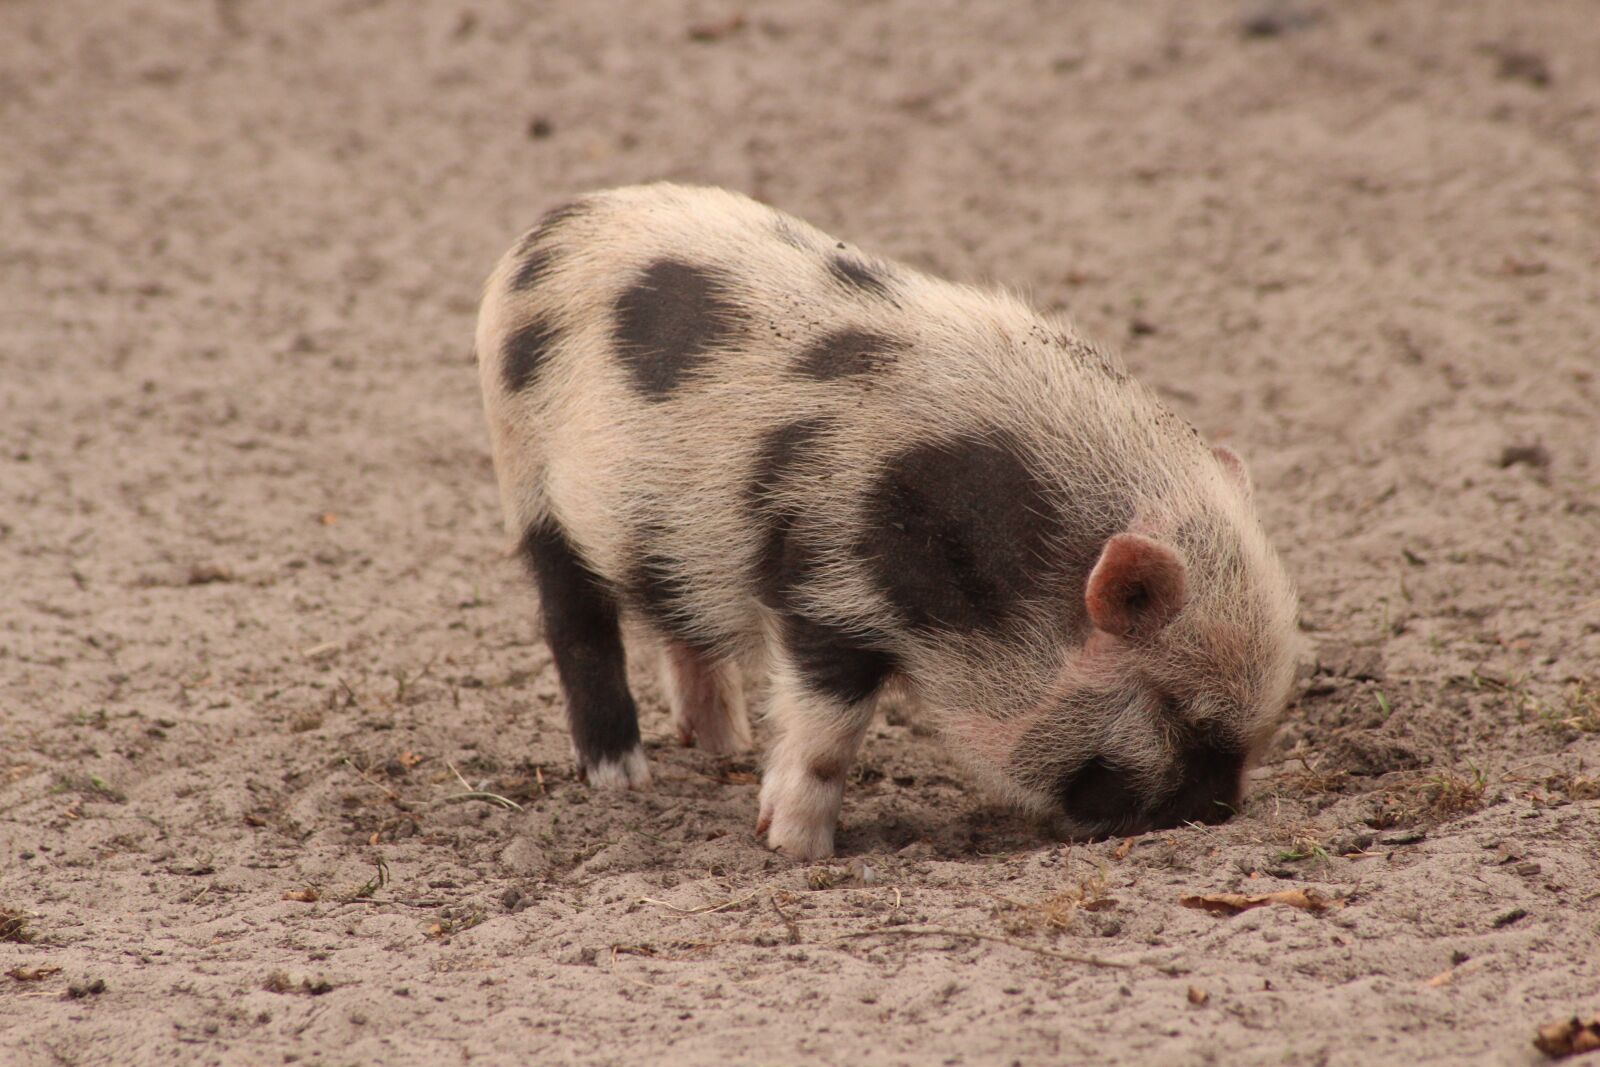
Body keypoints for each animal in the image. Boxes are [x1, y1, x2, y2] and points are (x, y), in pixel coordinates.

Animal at [476, 183, 1300, 860]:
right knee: (575, 622)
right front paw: (796, 850)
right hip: (528, 476)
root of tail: (544, 232)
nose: (1217, 815)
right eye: (1179, 713)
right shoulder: (824, 579)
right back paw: (623, 779)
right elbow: (827, 730)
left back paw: (722, 746)